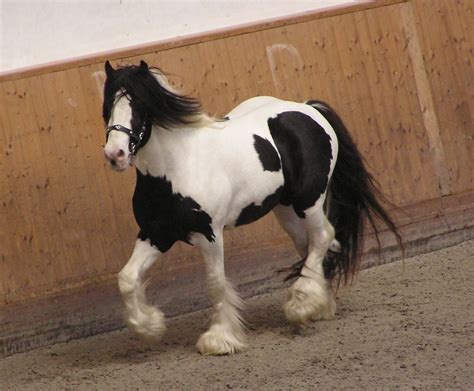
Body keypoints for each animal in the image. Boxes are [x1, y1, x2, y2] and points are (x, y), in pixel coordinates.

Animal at [102, 59, 402, 356]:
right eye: (107, 104)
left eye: (139, 105)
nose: (115, 154)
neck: (176, 168)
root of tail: (308, 109)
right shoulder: (156, 234)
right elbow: (126, 278)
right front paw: (149, 327)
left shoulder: (210, 235)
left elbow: (215, 283)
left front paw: (220, 339)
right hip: (285, 210)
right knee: (310, 246)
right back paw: (319, 305)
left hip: (309, 201)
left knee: (323, 237)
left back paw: (301, 306)